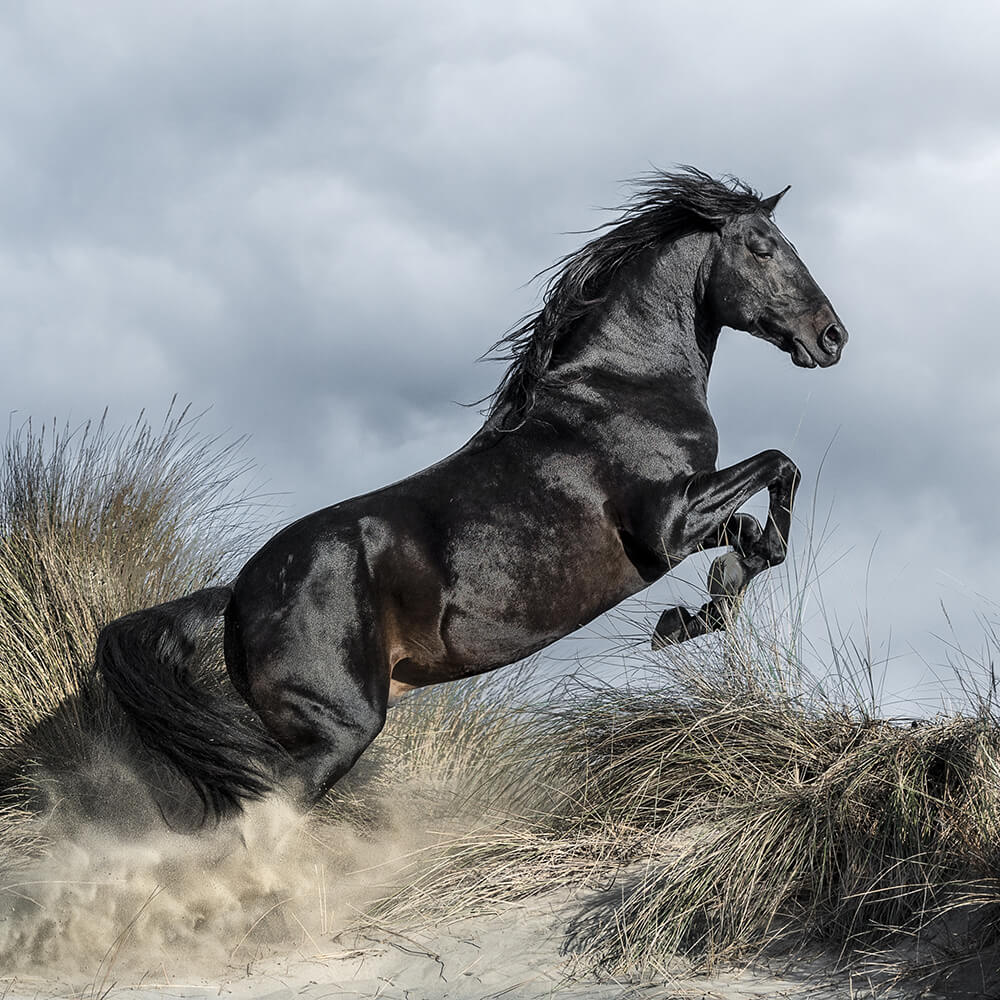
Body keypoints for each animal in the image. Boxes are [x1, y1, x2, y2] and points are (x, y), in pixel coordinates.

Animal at [94, 168, 848, 816]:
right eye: (762, 247)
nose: (832, 336)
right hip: (337, 733)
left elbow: (756, 533)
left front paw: (699, 609)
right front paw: (701, 608)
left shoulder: (685, 521)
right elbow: (780, 469)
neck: (625, 386)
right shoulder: (666, 522)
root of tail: (236, 596)